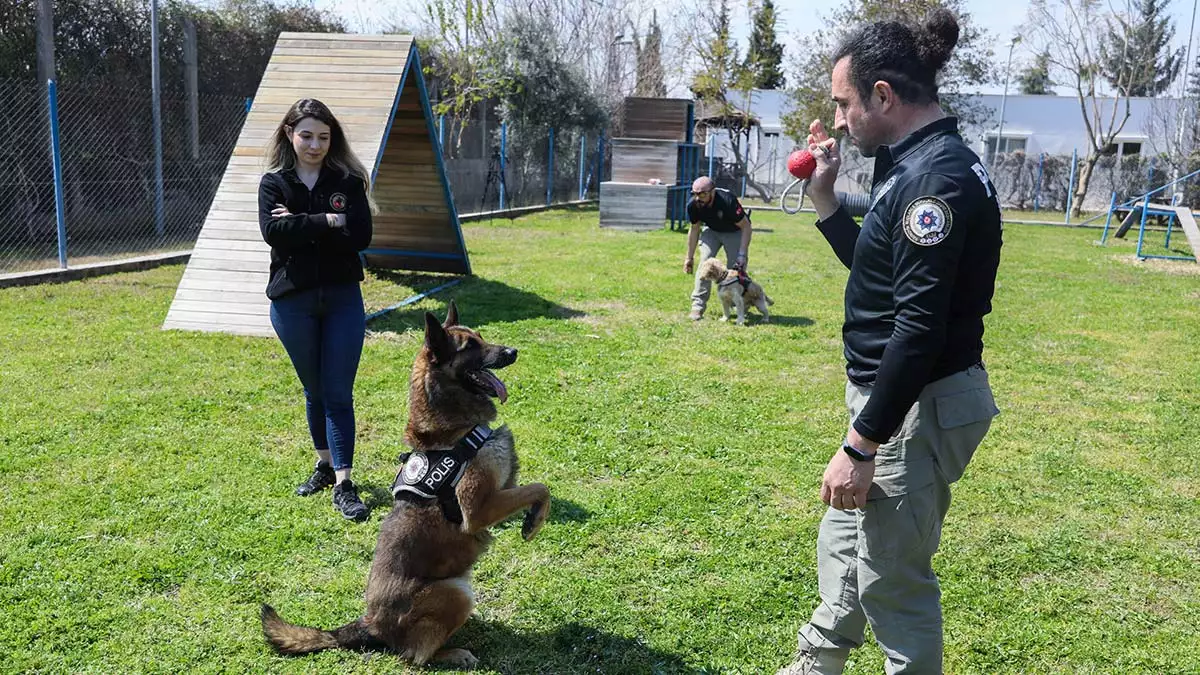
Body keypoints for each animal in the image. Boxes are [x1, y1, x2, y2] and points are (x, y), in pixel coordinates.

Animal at [260, 303, 549, 667]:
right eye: (470, 347)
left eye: (482, 337)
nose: (512, 352)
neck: (454, 428)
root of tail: (370, 624)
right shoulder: (478, 510)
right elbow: (540, 487)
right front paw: (534, 522)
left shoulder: (504, 486)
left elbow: (533, 488)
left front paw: (532, 517)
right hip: (455, 593)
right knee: (416, 656)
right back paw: (453, 652)